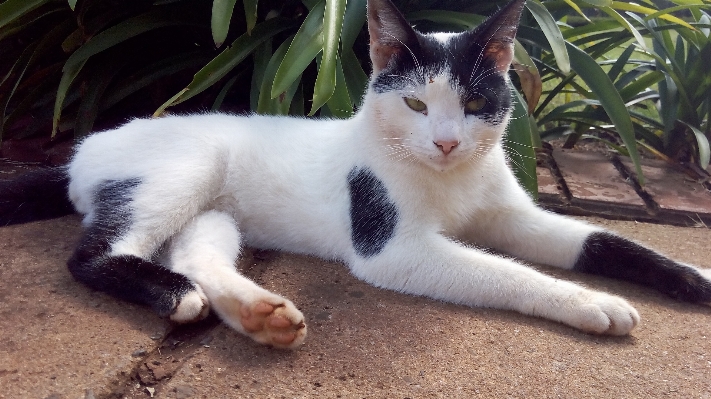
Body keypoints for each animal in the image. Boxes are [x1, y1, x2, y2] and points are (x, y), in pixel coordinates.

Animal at [1, 0, 711, 350]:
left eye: (475, 102)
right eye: (417, 104)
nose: (447, 142)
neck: (451, 181)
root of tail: (88, 143)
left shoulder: (514, 214)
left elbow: (606, 240)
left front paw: (692, 277)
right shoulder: (393, 248)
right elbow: (509, 272)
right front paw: (592, 303)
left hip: (215, 208)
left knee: (197, 251)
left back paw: (257, 314)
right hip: (184, 166)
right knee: (94, 254)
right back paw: (176, 296)